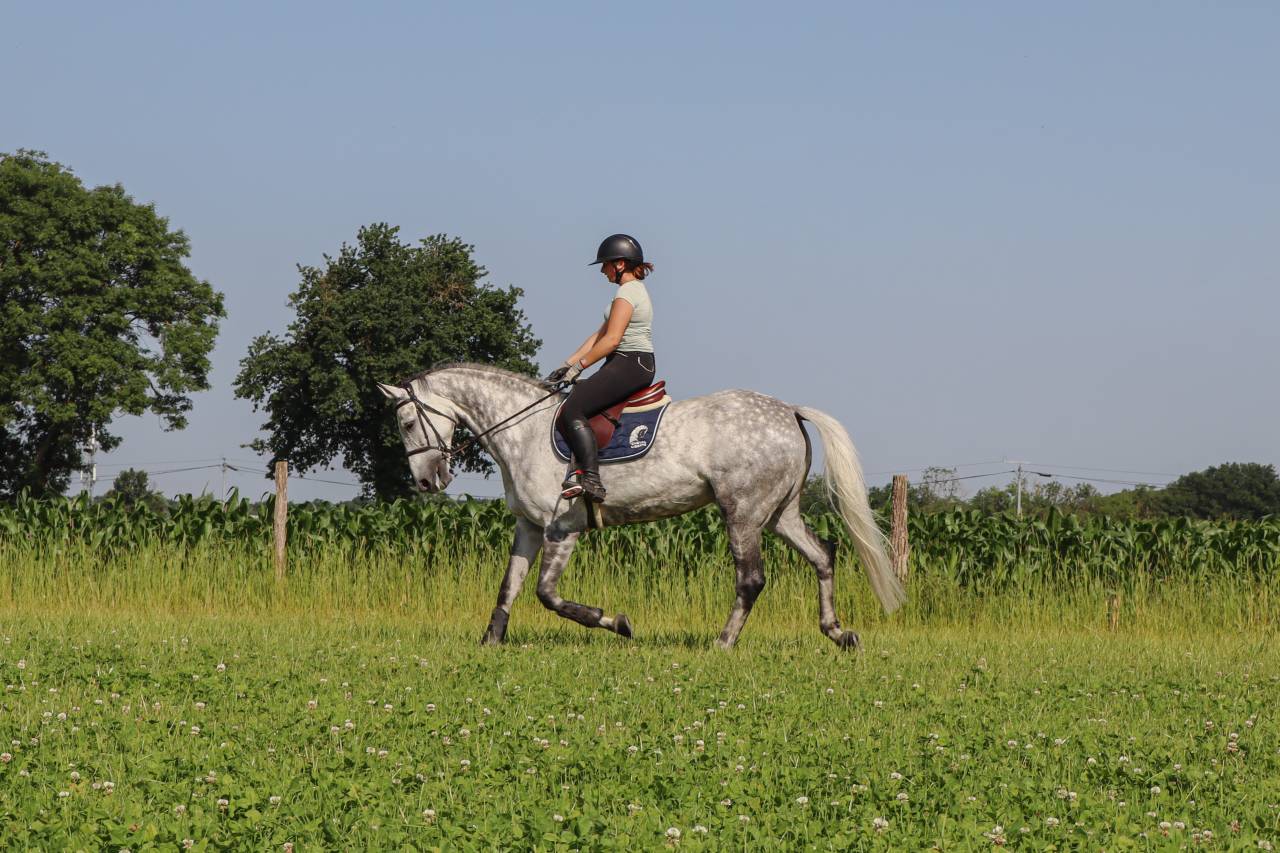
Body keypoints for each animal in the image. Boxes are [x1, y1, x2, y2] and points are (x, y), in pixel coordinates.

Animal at [377, 363, 904, 649]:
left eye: (406, 422)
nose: (426, 481)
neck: (521, 431)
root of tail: (789, 410)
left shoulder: (561, 528)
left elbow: (547, 595)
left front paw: (616, 622)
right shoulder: (527, 526)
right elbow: (509, 587)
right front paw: (490, 642)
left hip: (743, 512)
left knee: (751, 579)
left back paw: (722, 643)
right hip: (780, 513)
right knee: (823, 555)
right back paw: (838, 633)